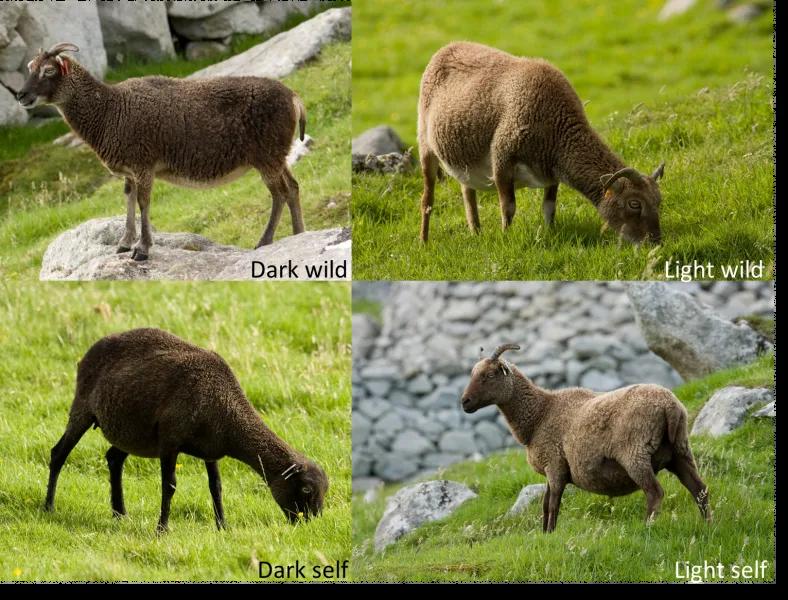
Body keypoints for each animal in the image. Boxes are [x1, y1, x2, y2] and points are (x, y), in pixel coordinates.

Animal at [17, 43, 307, 261]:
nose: (21, 95)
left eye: (49, 70)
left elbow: (144, 203)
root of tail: (294, 97)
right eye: (30, 67)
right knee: (293, 187)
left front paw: (142, 250)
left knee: (279, 193)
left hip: (267, 157)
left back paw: (264, 242)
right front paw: (124, 244)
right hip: (278, 156)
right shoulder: (130, 172)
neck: (110, 110)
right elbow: (129, 199)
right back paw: (299, 235)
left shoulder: (144, 164)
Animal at [44, 328, 328, 533]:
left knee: (114, 458)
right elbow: (169, 485)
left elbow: (216, 487)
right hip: (82, 408)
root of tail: (92, 348)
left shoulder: (211, 450)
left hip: (132, 432)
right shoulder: (170, 441)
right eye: (305, 490)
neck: (228, 411)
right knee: (59, 454)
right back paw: (49, 507)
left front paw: (222, 527)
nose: (309, 524)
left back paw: (120, 513)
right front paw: (162, 529)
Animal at [418, 42, 665, 245]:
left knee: (467, 193)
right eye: (634, 203)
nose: (654, 242)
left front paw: (549, 233)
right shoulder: (502, 160)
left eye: (658, 201)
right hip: (425, 145)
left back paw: (475, 232)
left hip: (463, 161)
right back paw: (424, 242)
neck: (556, 129)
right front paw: (506, 238)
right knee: (427, 199)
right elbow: (508, 208)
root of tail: (445, 48)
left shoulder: (550, 174)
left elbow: (549, 208)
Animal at [461, 344, 710, 532]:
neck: (539, 415)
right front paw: (544, 534)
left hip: (635, 453)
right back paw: (709, 524)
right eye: (472, 374)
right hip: (680, 450)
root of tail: (670, 407)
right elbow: (545, 505)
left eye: (489, 375)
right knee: (699, 489)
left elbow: (553, 505)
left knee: (655, 493)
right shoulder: (553, 469)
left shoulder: (555, 466)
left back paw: (648, 527)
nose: (465, 402)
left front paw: (550, 534)